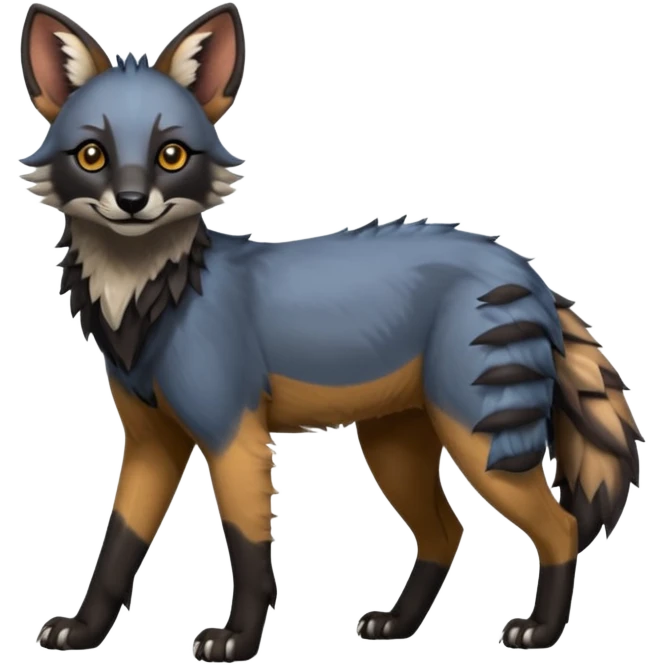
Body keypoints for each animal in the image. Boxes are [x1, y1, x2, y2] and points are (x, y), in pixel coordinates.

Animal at [21, 2, 642, 661]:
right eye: (93, 155)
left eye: (171, 155)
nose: (133, 201)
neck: (146, 306)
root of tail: (527, 271)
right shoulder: (149, 443)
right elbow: (117, 548)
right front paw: (84, 632)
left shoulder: (232, 434)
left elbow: (248, 549)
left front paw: (238, 639)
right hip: (395, 447)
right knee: (447, 532)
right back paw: (399, 625)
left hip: (480, 444)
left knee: (561, 529)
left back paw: (539, 631)